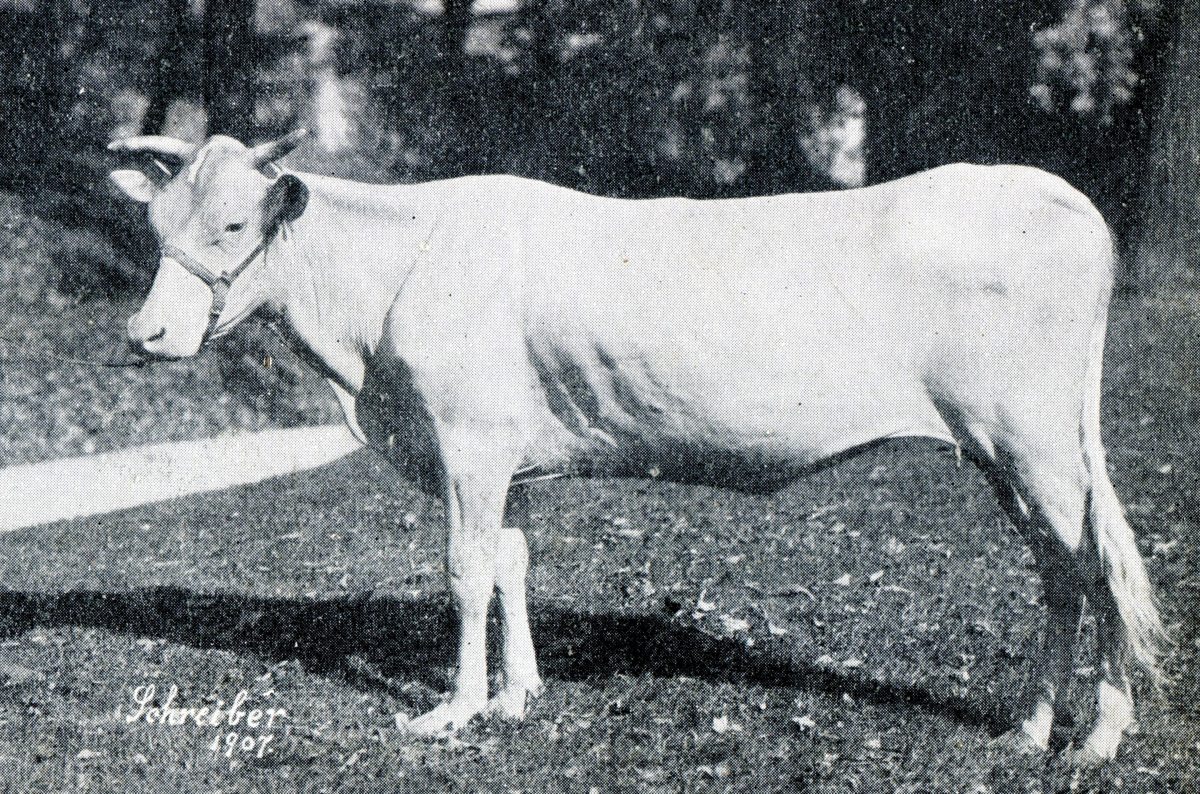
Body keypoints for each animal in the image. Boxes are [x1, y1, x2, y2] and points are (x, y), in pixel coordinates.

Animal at [108, 131, 1156, 767]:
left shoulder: (467, 441)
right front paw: (518, 694)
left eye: (232, 225)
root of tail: (1058, 194)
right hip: (1010, 452)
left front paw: (453, 710)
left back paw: (1098, 738)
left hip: (1036, 442)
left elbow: (465, 571)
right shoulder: (508, 454)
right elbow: (515, 563)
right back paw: (1029, 728)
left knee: (1092, 567)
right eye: (155, 224)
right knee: (1058, 572)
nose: (145, 336)